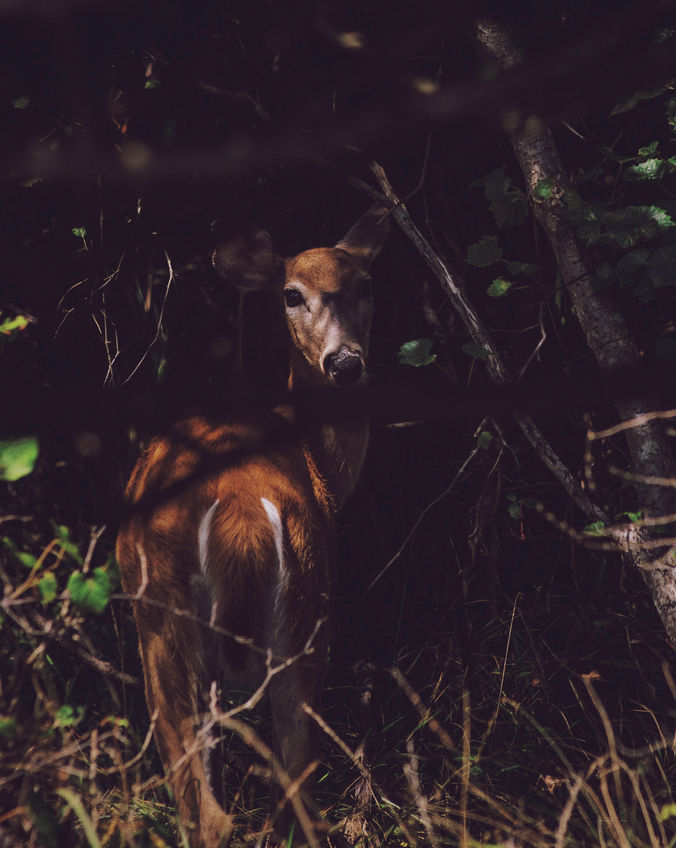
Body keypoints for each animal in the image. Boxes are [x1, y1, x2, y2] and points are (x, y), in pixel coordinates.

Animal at [116, 203, 389, 848]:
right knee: (283, 796)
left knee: (223, 807)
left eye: (365, 284)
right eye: (291, 294)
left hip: (176, 622)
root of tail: (238, 519)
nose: (345, 362)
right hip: (300, 615)